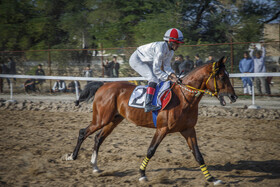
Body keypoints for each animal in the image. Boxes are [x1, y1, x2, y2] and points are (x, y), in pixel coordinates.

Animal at [63, 57, 236, 186]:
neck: (183, 99)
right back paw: (72, 156)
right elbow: (150, 150)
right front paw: (142, 174)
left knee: (98, 138)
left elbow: (198, 155)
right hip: (101, 118)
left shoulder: (188, 130)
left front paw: (212, 178)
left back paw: (95, 166)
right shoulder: (162, 129)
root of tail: (103, 85)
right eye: (222, 77)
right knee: (83, 132)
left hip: (113, 120)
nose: (234, 97)